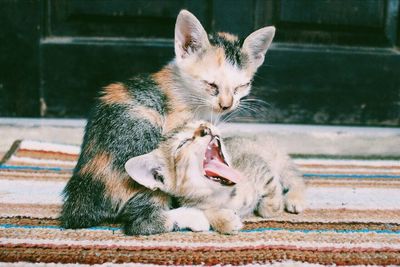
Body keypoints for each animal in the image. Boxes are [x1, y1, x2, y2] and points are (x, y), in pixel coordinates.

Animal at [61, 9, 276, 237]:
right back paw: (194, 217)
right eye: (211, 85)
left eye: (241, 86)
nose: (226, 105)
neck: (187, 92)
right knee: (141, 222)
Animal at [126, 121, 304, 234]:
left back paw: (295, 199)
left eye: (200, 123)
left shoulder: (258, 165)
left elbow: (270, 190)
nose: (205, 128)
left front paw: (271, 207)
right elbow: (205, 211)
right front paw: (225, 221)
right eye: (182, 143)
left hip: (279, 159)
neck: (223, 194)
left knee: (297, 179)